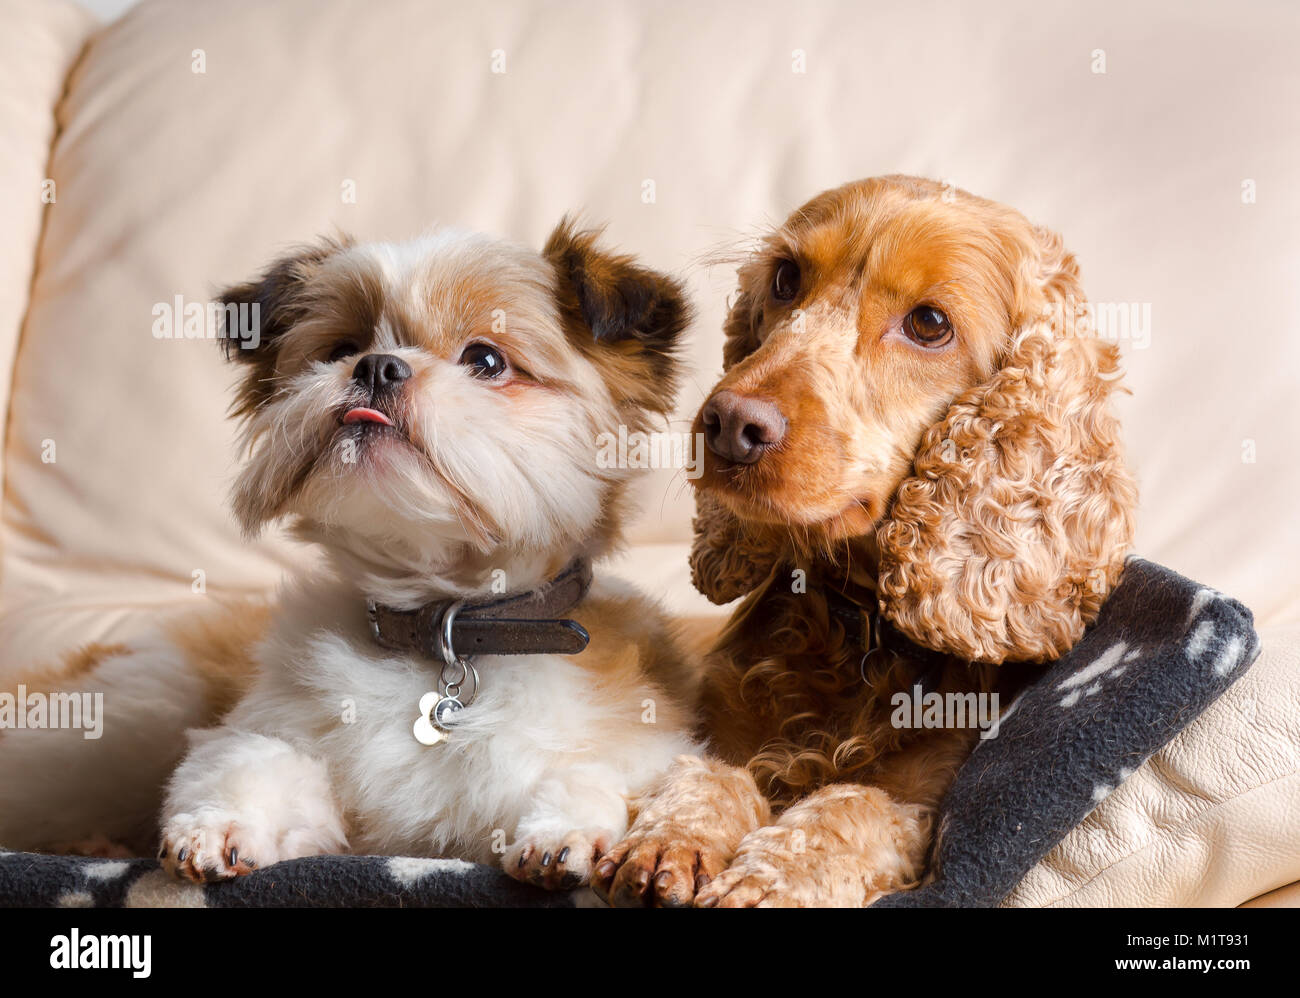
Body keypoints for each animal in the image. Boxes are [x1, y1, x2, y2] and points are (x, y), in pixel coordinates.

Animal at [0, 220, 702, 888]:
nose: (377, 366)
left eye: (486, 360)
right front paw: (220, 824)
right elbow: (251, 761)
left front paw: (565, 834)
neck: (443, 633)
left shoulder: (636, 744)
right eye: (340, 350)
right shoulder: (277, 739)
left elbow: (591, 776)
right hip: (120, 725)